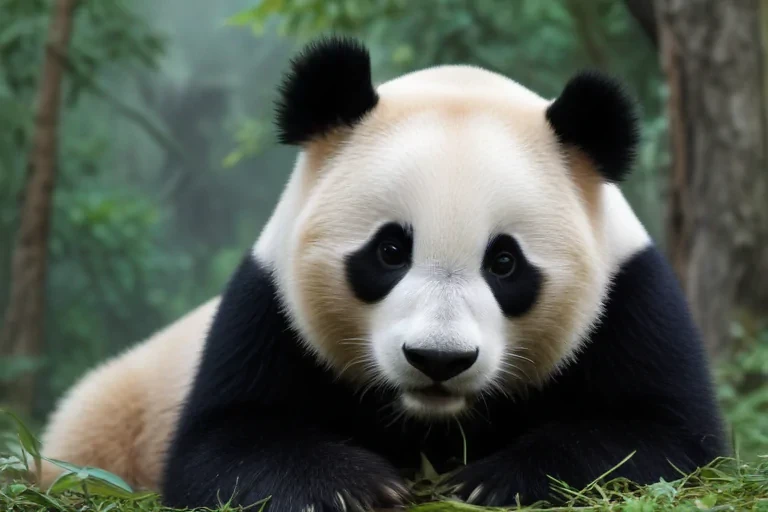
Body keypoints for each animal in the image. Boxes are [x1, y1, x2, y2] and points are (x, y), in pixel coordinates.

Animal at [38, 35, 727, 511]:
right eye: (390, 251)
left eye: (505, 262)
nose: (438, 360)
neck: (432, 421)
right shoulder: (269, 305)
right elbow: (221, 444)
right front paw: (353, 485)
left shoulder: (631, 299)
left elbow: (667, 439)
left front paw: (492, 480)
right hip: (111, 418)